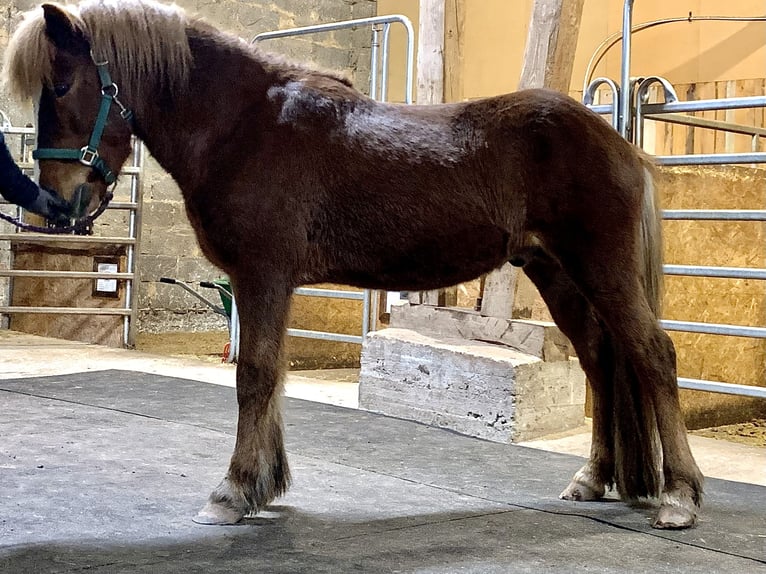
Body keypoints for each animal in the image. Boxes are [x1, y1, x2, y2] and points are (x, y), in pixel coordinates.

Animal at [3, 0, 704, 532]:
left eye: (60, 85)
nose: (59, 202)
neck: (245, 124)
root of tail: (618, 143)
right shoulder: (268, 284)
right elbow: (272, 377)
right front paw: (265, 486)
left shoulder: (262, 276)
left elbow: (255, 376)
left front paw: (233, 492)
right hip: (556, 272)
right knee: (602, 359)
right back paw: (594, 480)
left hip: (601, 268)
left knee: (653, 355)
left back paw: (679, 497)